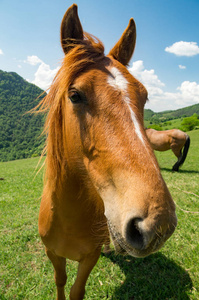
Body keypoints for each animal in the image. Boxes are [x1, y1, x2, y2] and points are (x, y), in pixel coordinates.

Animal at [37, 4, 177, 300]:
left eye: (144, 97)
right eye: (75, 95)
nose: (157, 225)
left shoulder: (89, 258)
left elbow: (77, 290)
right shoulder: (52, 253)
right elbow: (60, 280)